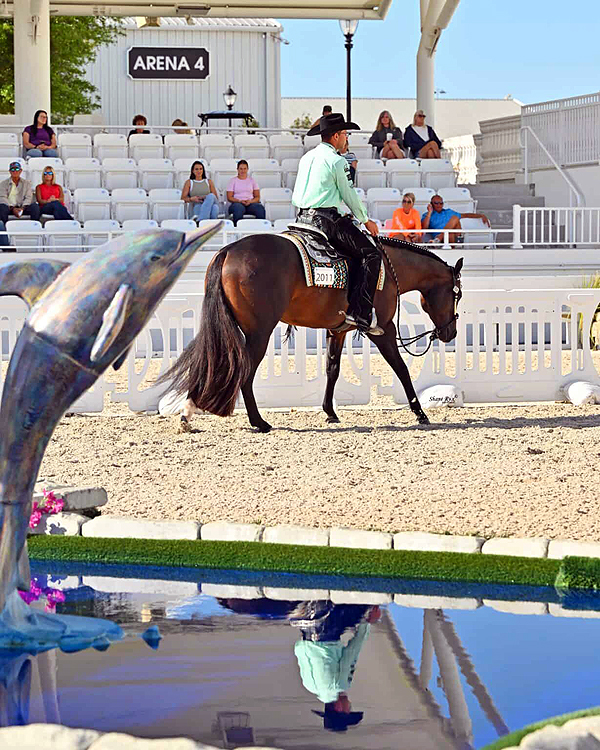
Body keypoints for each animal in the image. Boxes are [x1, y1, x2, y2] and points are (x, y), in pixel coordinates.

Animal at [164, 233, 463, 433]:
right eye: (456, 294)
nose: (450, 332)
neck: (388, 269)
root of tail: (227, 251)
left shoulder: (338, 330)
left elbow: (333, 369)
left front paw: (330, 412)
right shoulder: (383, 329)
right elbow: (400, 368)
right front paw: (420, 412)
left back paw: (188, 413)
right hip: (258, 333)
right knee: (244, 372)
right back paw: (259, 422)